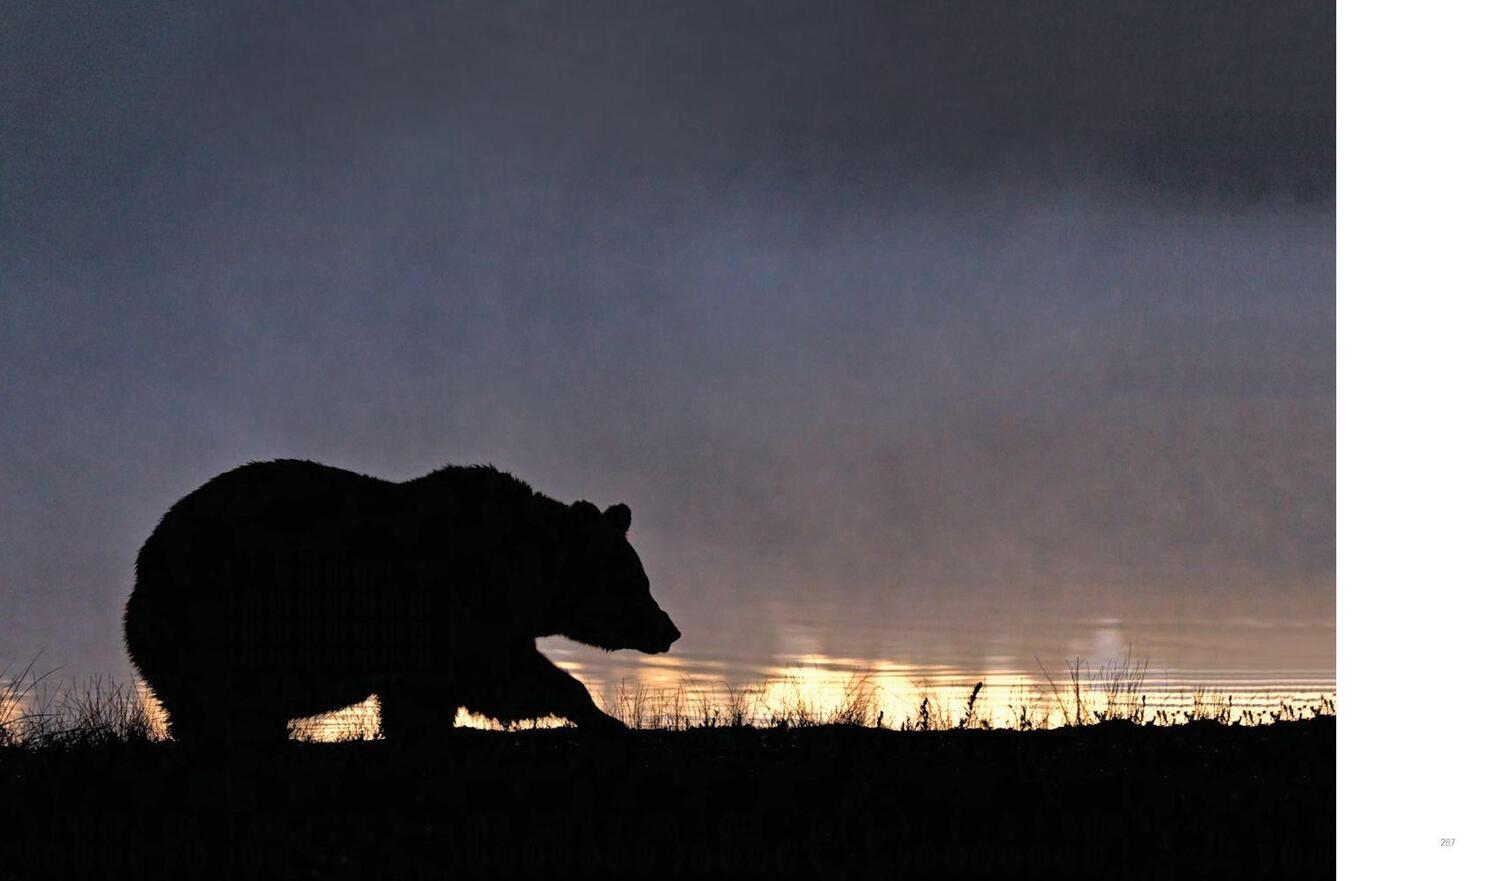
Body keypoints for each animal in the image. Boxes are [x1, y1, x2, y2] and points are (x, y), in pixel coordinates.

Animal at [126, 462, 684, 744]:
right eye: (636, 581)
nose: (668, 629)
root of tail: (146, 556)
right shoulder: (457, 608)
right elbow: (504, 676)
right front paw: (606, 718)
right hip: (217, 618)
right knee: (218, 706)